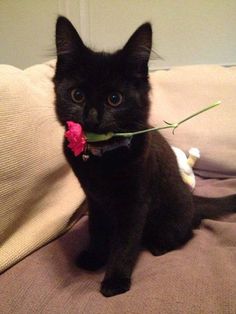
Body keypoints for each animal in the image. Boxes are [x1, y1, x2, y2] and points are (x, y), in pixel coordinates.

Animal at [54, 16, 236, 296]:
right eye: (77, 95)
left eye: (114, 99)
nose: (92, 118)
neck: (102, 159)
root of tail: (193, 200)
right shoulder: (94, 199)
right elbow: (97, 229)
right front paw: (95, 256)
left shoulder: (135, 202)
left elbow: (125, 243)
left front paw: (115, 280)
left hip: (172, 216)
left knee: (188, 230)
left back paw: (161, 245)